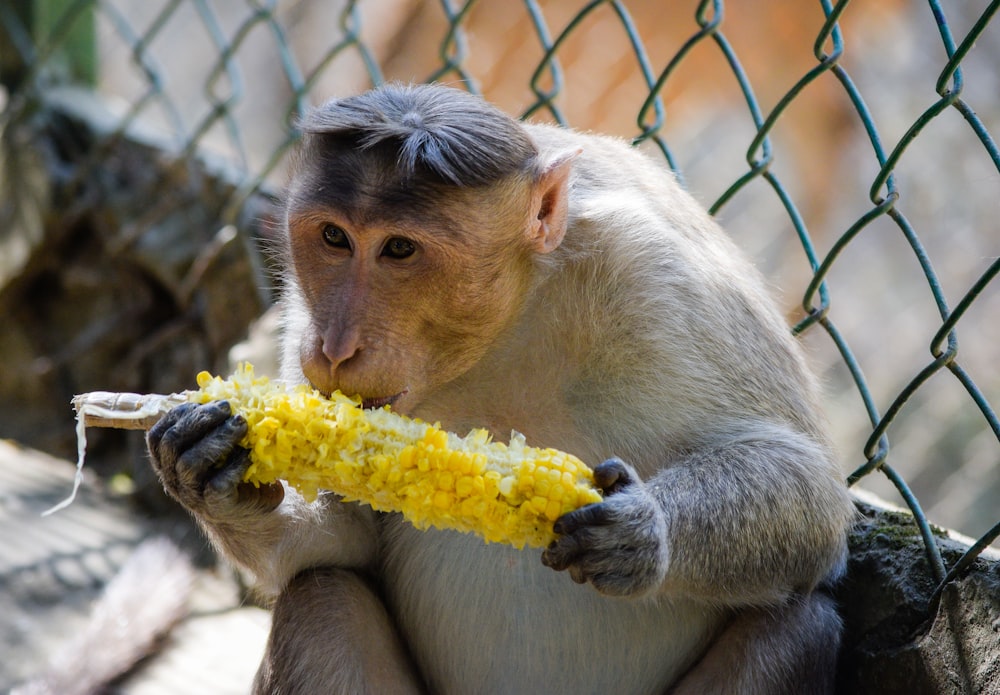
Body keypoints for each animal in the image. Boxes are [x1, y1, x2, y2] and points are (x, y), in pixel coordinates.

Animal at [146, 83, 852, 695]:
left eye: (399, 249)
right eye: (333, 237)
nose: (335, 347)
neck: (513, 320)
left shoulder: (660, 277)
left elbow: (810, 489)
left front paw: (642, 529)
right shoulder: (301, 310)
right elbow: (343, 542)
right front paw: (217, 477)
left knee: (801, 629)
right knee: (324, 599)